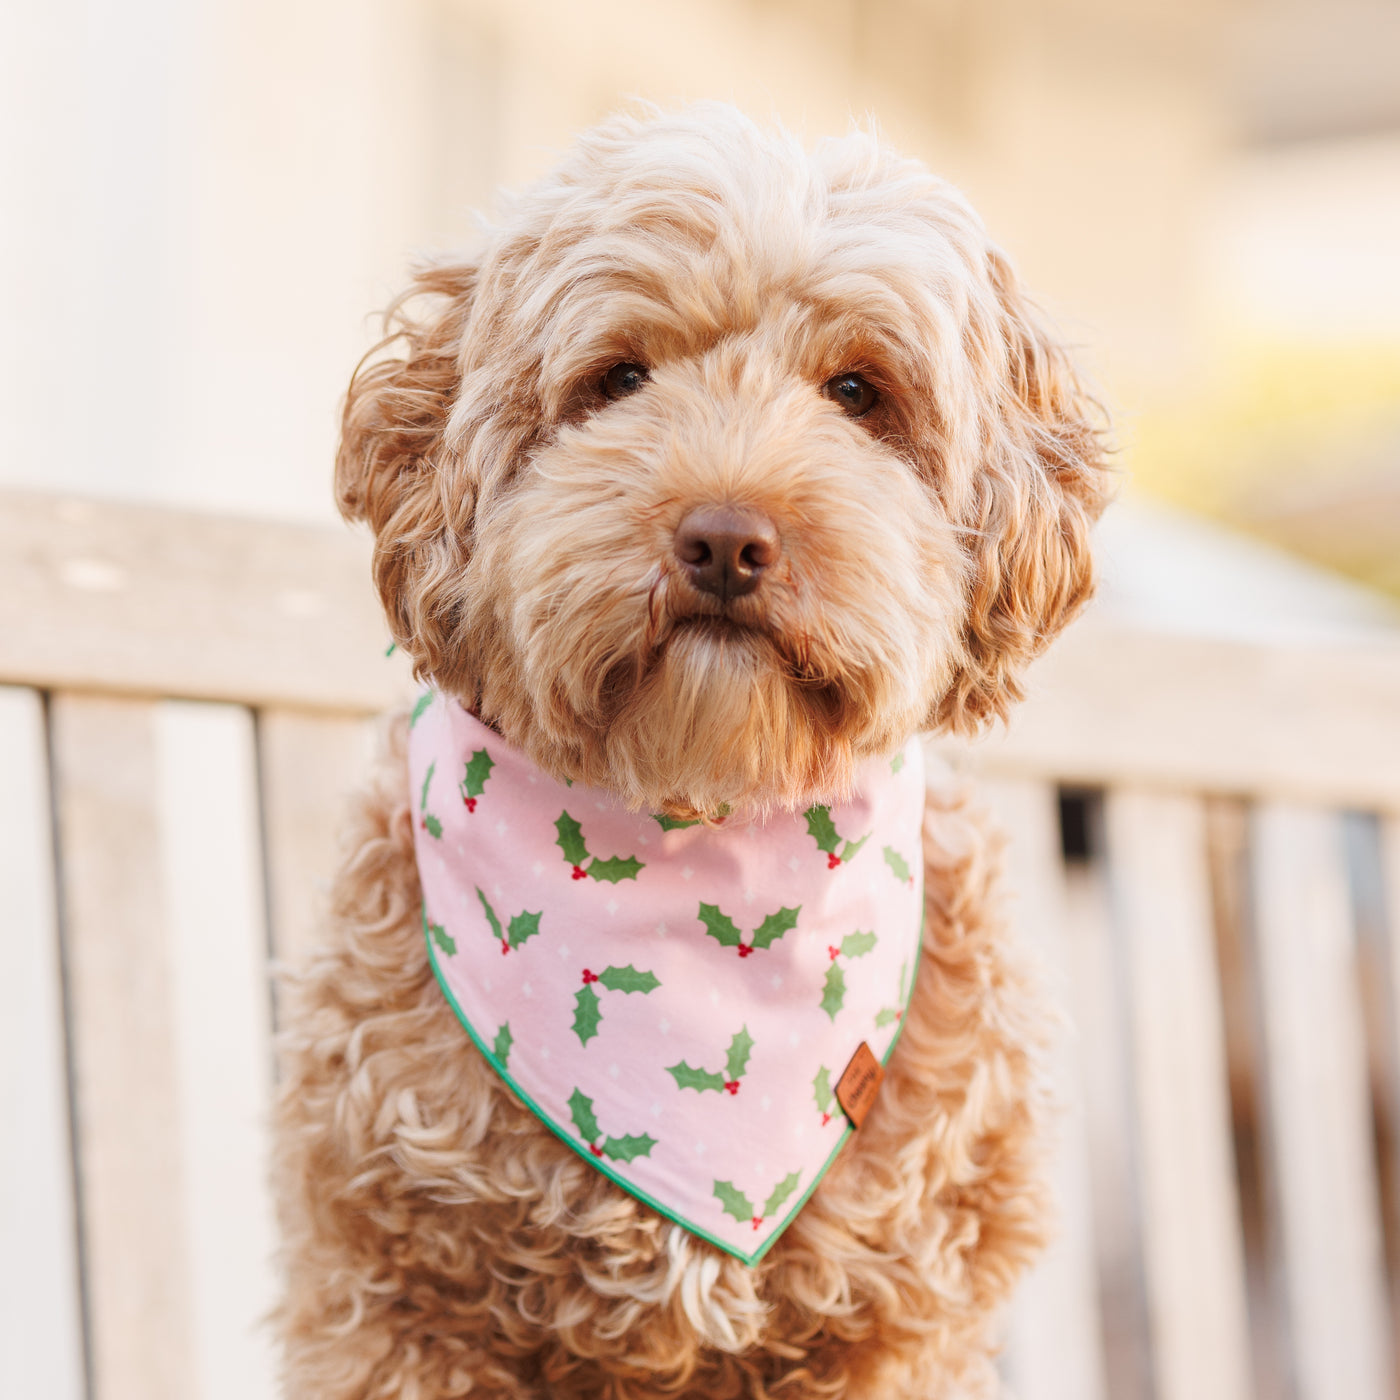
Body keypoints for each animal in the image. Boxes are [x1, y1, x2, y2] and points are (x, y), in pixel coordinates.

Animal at [270, 103, 1103, 1394]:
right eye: (619, 376)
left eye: (859, 390)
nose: (723, 538)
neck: (701, 814)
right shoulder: (398, 1297)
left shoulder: (896, 1318)